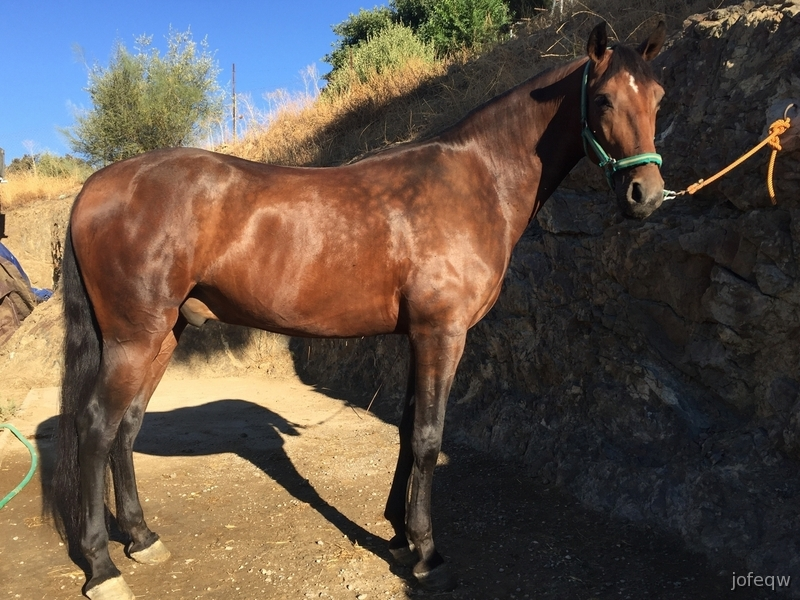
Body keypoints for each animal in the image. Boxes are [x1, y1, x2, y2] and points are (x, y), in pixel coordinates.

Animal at [54, 20, 667, 599]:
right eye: (604, 98)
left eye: (658, 96)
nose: (647, 194)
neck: (477, 181)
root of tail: (98, 184)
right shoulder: (443, 334)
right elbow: (429, 438)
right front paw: (427, 556)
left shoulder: (419, 336)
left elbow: (408, 429)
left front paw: (398, 533)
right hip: (134, 339)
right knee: (96, 426)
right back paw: (103, 567)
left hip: (165, 333)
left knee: (127, 427)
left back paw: (141, 538)